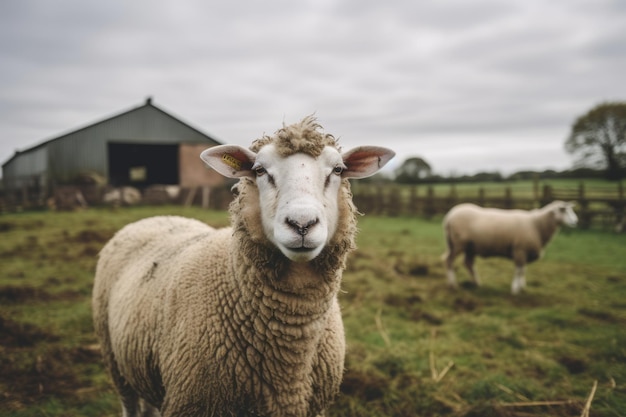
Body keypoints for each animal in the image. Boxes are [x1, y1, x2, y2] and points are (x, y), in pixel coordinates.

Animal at [438, 201, 576, 292]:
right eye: (563, 210)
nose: (575, 221)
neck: (537, 224)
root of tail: (449, 216)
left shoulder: (524, 252)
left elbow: (523, 270)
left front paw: (522, 287)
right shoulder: (520, 249)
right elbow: (519, 270)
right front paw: (515, 289)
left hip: (470, 247)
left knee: (468, 263)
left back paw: (477, 283)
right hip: (458, 244)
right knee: (448, 260)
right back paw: (453, 285)